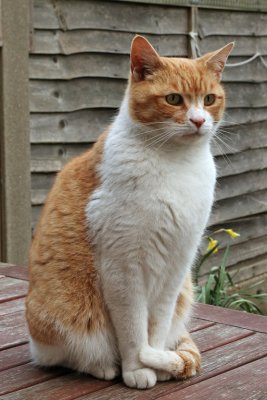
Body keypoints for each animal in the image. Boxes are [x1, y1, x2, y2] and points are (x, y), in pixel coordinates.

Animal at [25, 36, 234, 390]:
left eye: (209, 99)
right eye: (174, 99)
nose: (198, 121)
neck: (176, 164)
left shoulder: (176, 265)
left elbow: (157, 323)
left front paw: (158, 360)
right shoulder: (123, 267)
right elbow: (133, 328)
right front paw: (138, 367)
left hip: (184, 290)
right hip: (61, 318)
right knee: (68, 355)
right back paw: (103, 366)